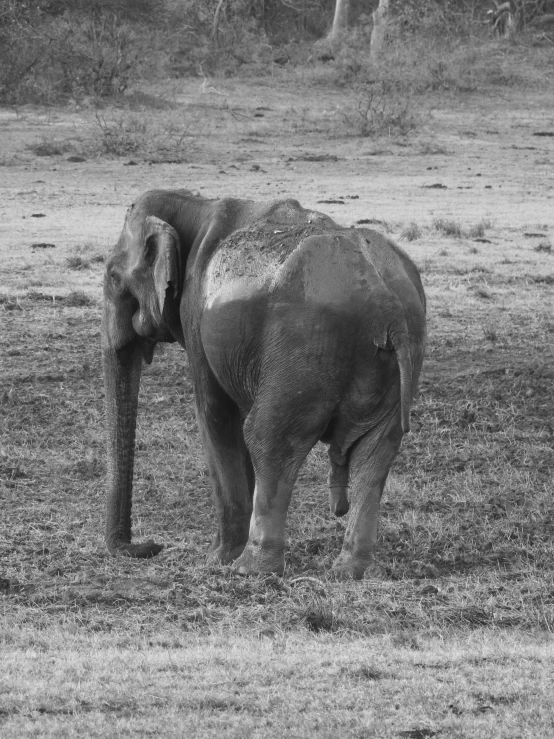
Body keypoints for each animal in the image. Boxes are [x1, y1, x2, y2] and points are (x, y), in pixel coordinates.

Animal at [101, 189, 424, 580]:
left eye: (113, 277)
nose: (151, 546)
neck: (194, 204)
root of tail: (387, 304)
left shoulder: (194, 315)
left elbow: (216, 418)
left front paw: (217, 559)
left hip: (303, 346)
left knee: (268, 438)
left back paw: (251, 568)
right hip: (395, 357)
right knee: (375, 451)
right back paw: (348, 571)